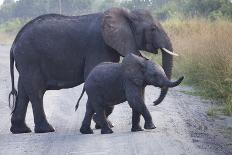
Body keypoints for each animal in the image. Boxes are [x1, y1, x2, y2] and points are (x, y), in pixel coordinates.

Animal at [8, 7, 177, 133]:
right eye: (153, 29)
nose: (154, 102)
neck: (126, 14)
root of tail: (14, 42)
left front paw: (100, 122)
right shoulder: (98, 46)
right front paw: (102, 122)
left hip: (26, 61)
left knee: (24, 90)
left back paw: (21, 130)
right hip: (30, 58)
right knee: (36, 91)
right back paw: (47, 129)